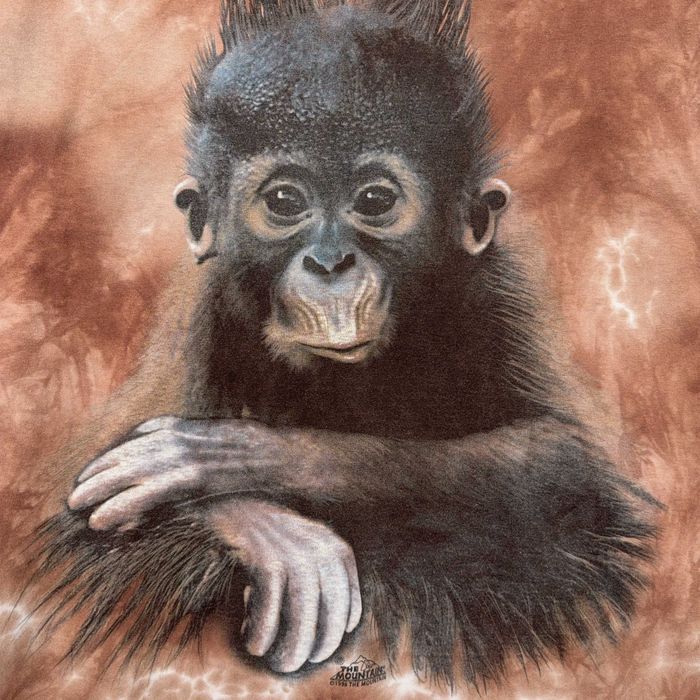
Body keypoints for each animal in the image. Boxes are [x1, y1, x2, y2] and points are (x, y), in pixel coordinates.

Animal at [33, 0, 658, 689]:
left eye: (375, 201)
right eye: (285, 200)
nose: (330, 262)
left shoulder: (498, 291)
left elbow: (563, 462)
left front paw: (222, 460)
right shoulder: (202, 310)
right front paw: (268, 531)